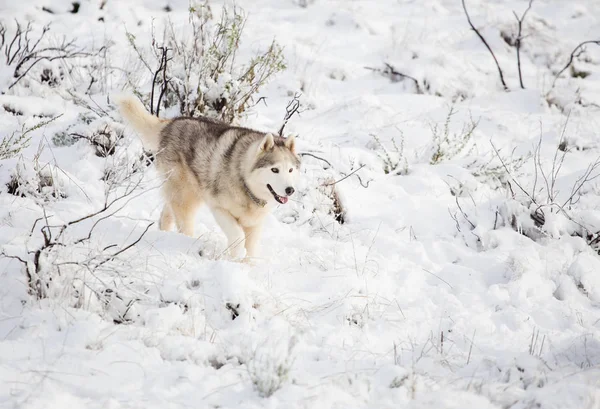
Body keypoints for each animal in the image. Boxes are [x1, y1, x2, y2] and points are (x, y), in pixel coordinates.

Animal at [115, 95, 300, 262]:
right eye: (274, 170)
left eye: (290, 170)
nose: (290, 190)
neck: (245, 183)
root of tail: (171, 123)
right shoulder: (219, 208)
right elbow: (237, 235)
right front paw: (236, 255)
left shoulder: (254, 225)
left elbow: (251, 250)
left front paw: (245, 267)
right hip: (186, 196)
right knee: (184, 222)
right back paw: (188, 244)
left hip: (185, 193)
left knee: (167, 214)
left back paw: (164, 234)